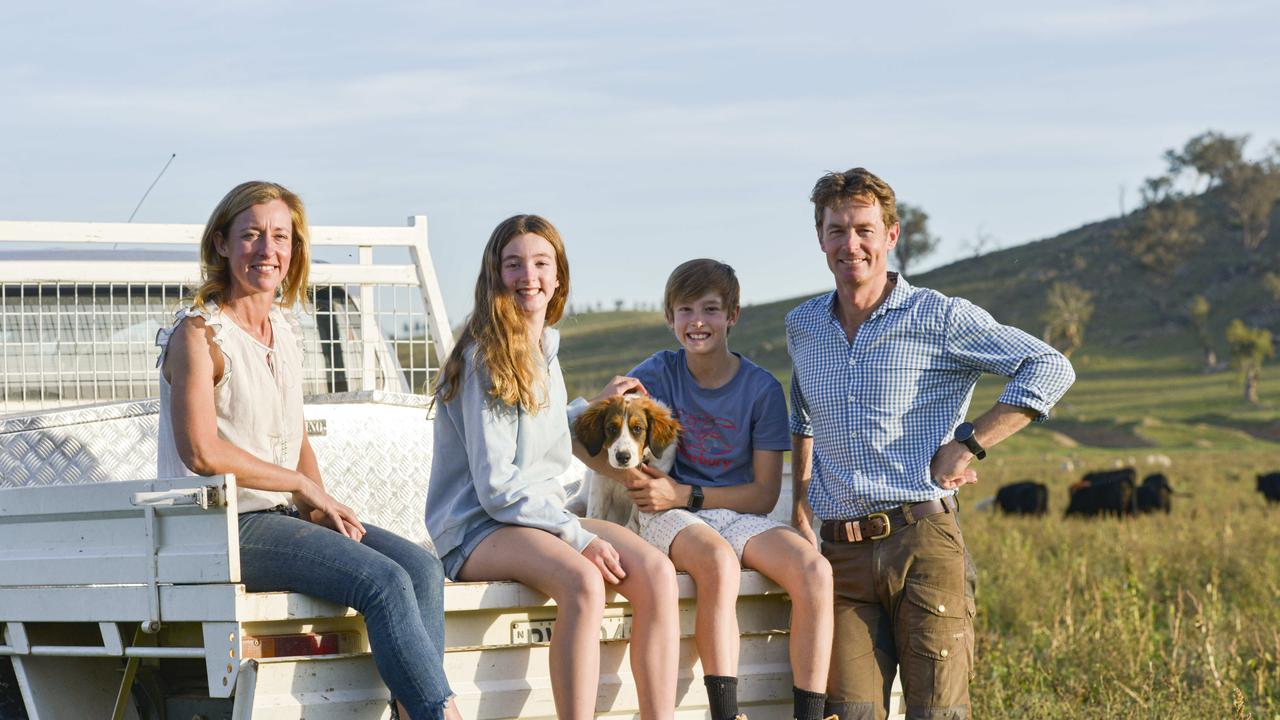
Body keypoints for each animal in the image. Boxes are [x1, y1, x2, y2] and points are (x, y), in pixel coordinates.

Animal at [576, 392, 686, 527]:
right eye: (612, 428)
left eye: (637, 428)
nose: (623, 457)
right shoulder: (600, 482)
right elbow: (595, 515)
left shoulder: (647, 488)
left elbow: (634, 519)